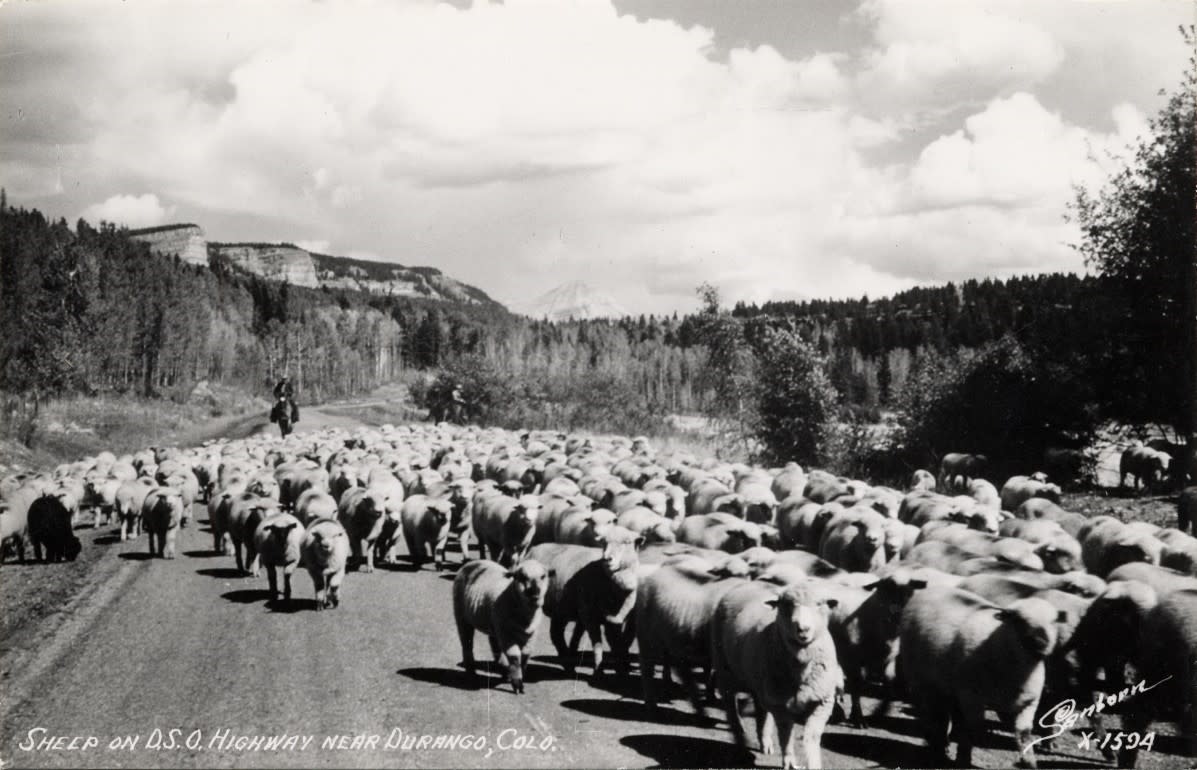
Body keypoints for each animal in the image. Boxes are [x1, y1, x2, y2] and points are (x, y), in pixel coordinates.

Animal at [450, 558, 548, 694]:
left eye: (543, 576)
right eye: (521, 577)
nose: (534, 595)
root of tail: (473, 562)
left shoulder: (531, 635)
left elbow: (525, 655)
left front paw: (518, 676)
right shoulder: (506, 634)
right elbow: (514, 656)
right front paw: (517, 683)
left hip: (494, 625)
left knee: (495, 647)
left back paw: (504, 671)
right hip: (462, 616)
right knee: (467, 645)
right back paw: (471, 674)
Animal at [708, 581, 842, 766]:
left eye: (819, 604)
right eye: (787, 605)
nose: (803, 629)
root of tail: (747, 583)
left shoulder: (822, 701)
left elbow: (812, 736)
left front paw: (813, 762)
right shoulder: (780, 705)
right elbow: (786, 734)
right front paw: (790, 761)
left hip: (761, 684)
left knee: (762, 711)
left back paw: (765, 742)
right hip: (726, 670)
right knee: (730, 704)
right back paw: (739, 735)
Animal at [900, 586, 1062, 766]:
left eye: (1053, 621)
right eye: (1019, 620)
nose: (1041, 644)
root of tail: (931, 589)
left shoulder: (1028, 704)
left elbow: (1024, 735)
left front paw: (1030, 763)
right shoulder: (972, 697)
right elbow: (972, 729)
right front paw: (963, 760)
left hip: (949, 686)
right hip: (923, 681)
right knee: (933, 715)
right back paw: (937, 747)